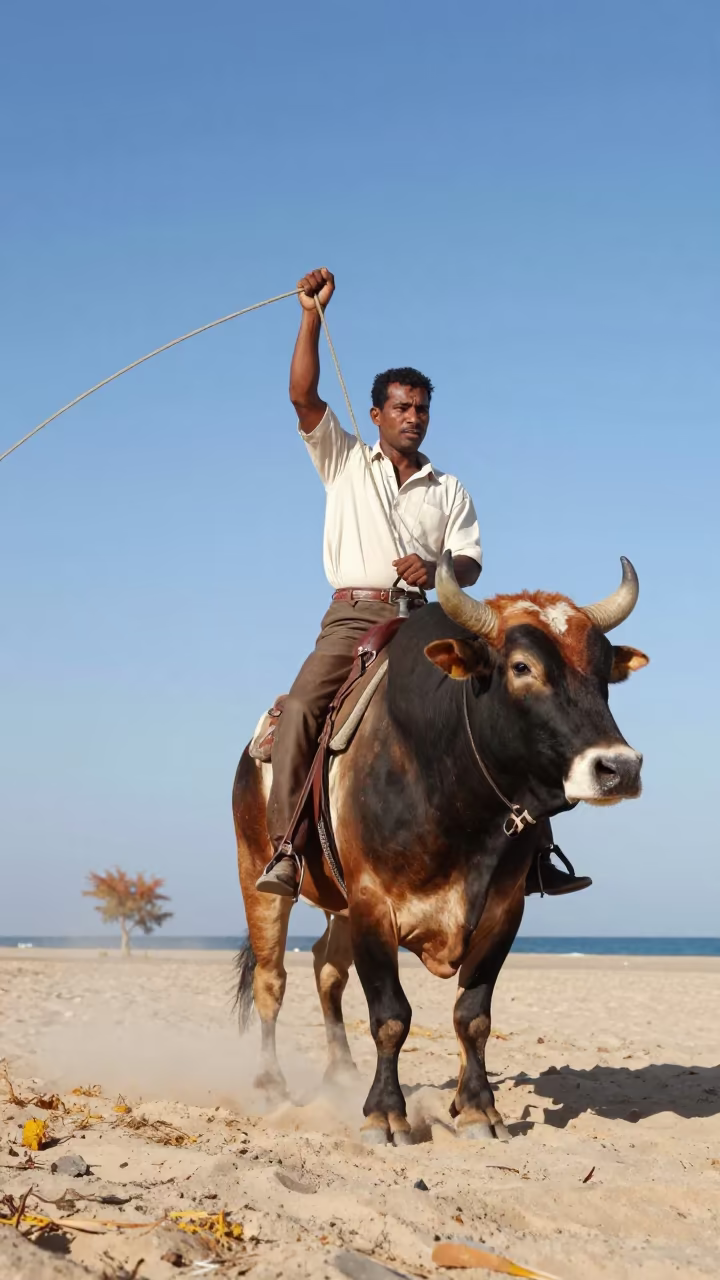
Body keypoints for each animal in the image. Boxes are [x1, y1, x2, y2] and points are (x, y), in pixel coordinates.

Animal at [232, 554, 648, 1143]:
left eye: (603, 669)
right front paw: (385, 1113)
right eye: (521, 667)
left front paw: (476, 1108)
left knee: (326, 971)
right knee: (273, 980)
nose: (619, 768)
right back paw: (271, 1086)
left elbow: (472, 1015)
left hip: (338, 904)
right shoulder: (373, 905)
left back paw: (341, 1074)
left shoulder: (503, 912)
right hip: (261, 880)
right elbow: (390, 1015)